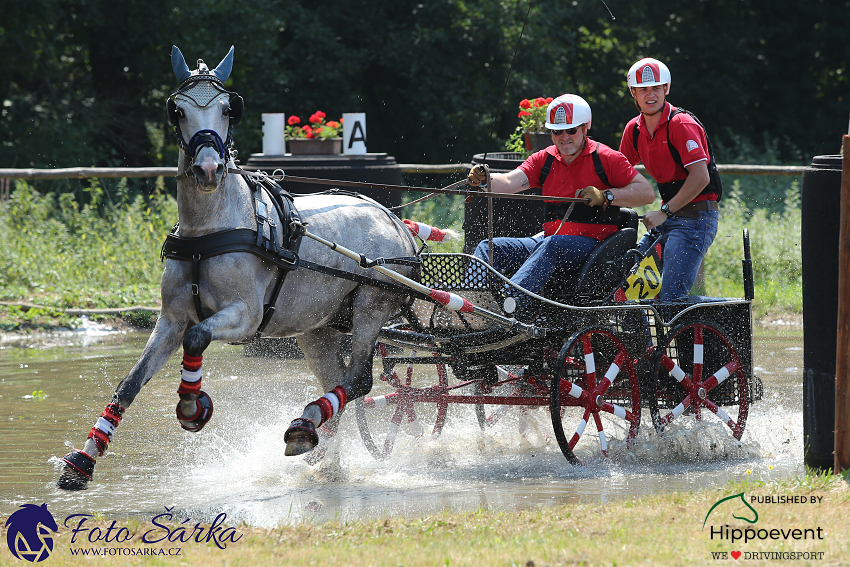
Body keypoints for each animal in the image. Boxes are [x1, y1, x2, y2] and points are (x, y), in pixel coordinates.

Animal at [57, 45, 418, 488]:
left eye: (229, 109)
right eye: (177, 110)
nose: (208, 169)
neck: (209, 231)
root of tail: (393, 219)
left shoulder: (245, 316)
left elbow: (197, 337)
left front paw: (191, 405)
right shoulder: (170, 320)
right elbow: (130, 383)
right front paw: (83, 460)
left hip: (371, 304)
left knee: (359, 379)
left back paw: (306, 425)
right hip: (317, 328)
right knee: (337, 380)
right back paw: (321, 446)